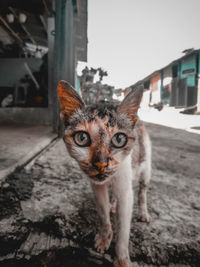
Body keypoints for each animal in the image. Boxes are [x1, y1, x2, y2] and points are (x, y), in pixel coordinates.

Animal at [57, 81, 151, 267]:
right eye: (81, 138)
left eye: (119, 139)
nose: (100, 163)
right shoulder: (96, 186)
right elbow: (102, 213)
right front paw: (104, 238)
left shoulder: (125, 189)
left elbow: (123, 229)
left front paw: (121, 259)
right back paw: (112, 205)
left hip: (146, 166)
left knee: (142, 191)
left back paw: (143, 212)